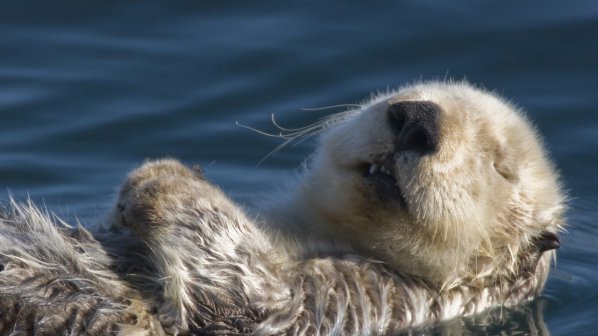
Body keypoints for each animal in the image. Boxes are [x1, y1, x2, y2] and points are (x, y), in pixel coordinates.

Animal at [0, 80, 568, 334]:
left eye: (500, 165)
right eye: (410, 92)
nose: (416, 119)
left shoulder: (356, 301)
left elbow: (249, 296)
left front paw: (162, 178)